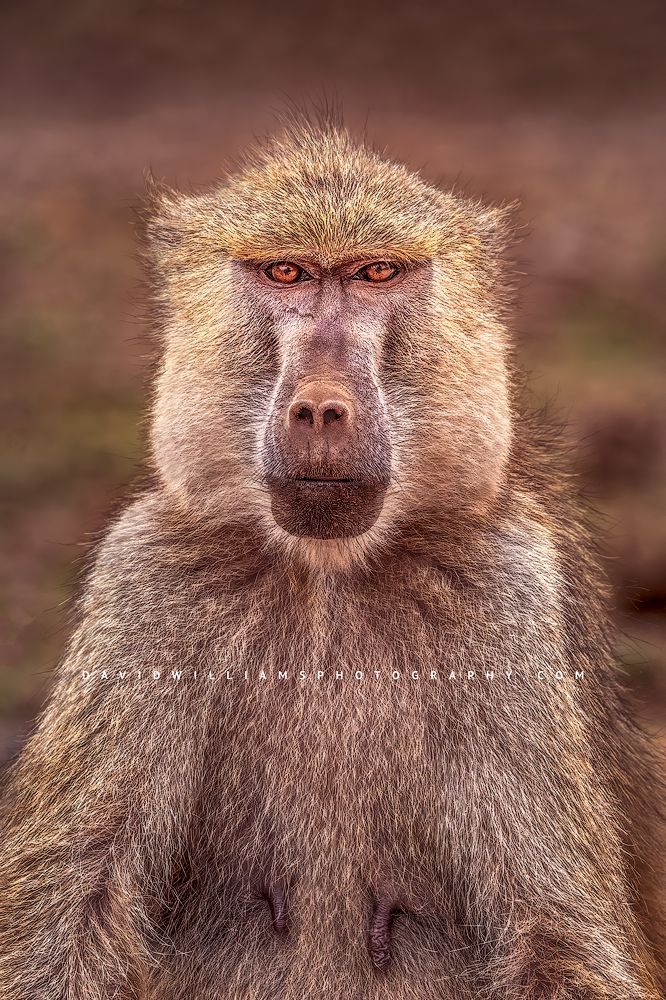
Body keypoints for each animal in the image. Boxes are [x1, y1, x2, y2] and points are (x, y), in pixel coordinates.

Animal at [0, 117, 664, 1000]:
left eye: (375, 273)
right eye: (286, 272)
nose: (321, 407)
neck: (327, 580)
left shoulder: (505, 587)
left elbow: (558, 936)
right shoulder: (143, 577)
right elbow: (65, 921)